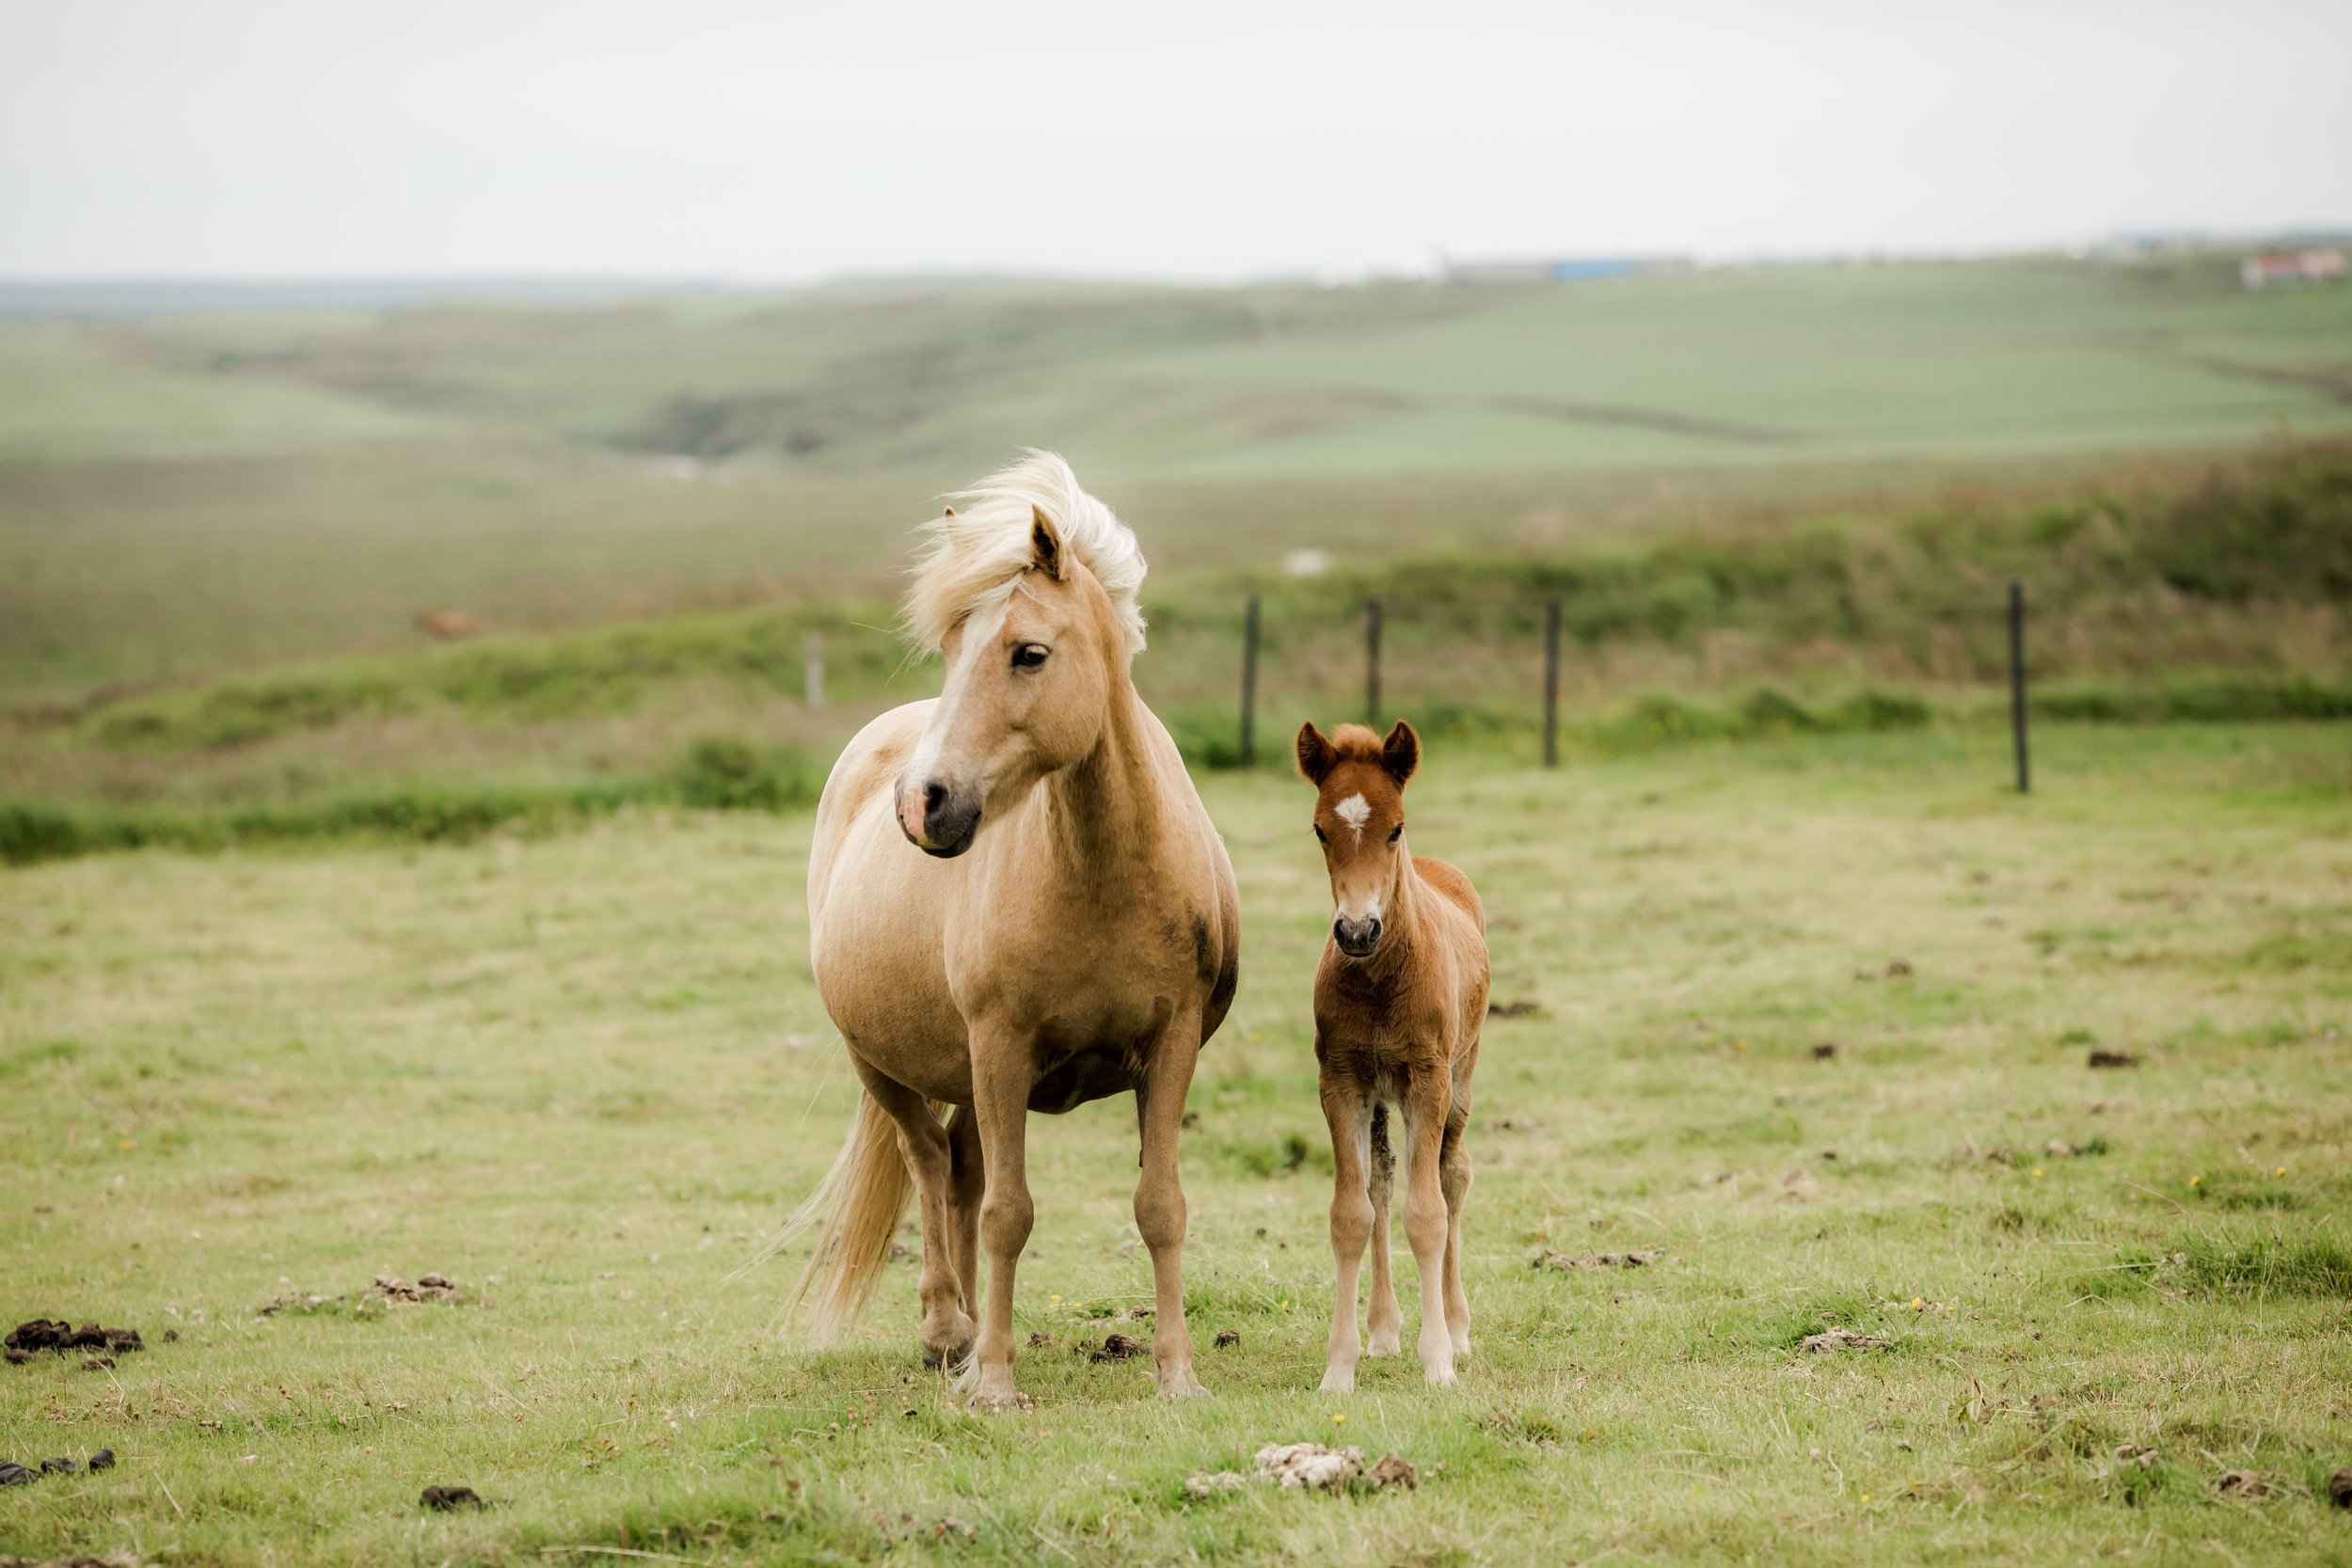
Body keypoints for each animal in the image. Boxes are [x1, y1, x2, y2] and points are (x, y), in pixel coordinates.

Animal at [776, 451, 1242, 1410]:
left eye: (1029, 653)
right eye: (954, 651)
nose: (925, 803)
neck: (1103, 875)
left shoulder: (1171, 1044)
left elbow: (1159, 1205)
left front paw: (1177, 1374)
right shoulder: (999, 1048)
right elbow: (1007, 1213)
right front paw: (992, 1379)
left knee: (957, 1166)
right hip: (881, 1063)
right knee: (928, 1161)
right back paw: (949, 1332)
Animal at [1289, 719, 1486, 1391]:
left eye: (1395, 827)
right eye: (1320, 829)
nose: (1356, 931)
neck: (1380, 979)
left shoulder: (1427, 1079)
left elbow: (1427, 1214)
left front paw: (1439, 1362)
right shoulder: (1341, 1082)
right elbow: (1352, 1214)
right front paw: (1338, 1368)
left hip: (1460, 1076)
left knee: (1453, 1177)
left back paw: (1458, 1327)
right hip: (1379, 1095)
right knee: (1380, 1184)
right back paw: (1381, 1331)